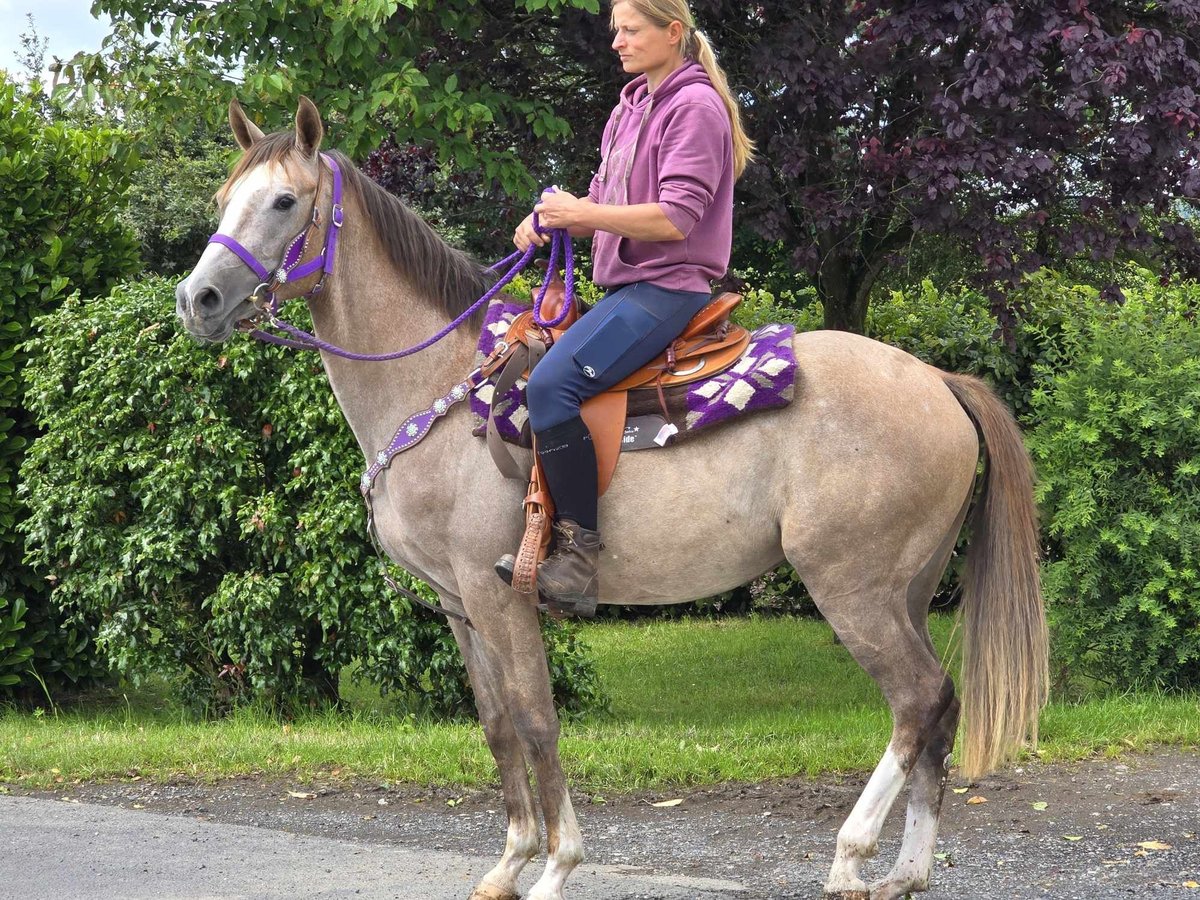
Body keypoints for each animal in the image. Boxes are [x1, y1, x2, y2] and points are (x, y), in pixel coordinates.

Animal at [174, 98, 1046, 900]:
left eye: (284, 201)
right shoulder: (458, 605)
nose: (198, 300)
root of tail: (938, 380)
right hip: (909, 588)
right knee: (937, 712)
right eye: (224, 197)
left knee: (916, 700)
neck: (439, 388)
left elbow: (537, 719)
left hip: (851, 586)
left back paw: (850, 856)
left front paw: (556, 867)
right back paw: (907, 869)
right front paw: (508, 863)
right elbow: (497, 727)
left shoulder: (499, 596)